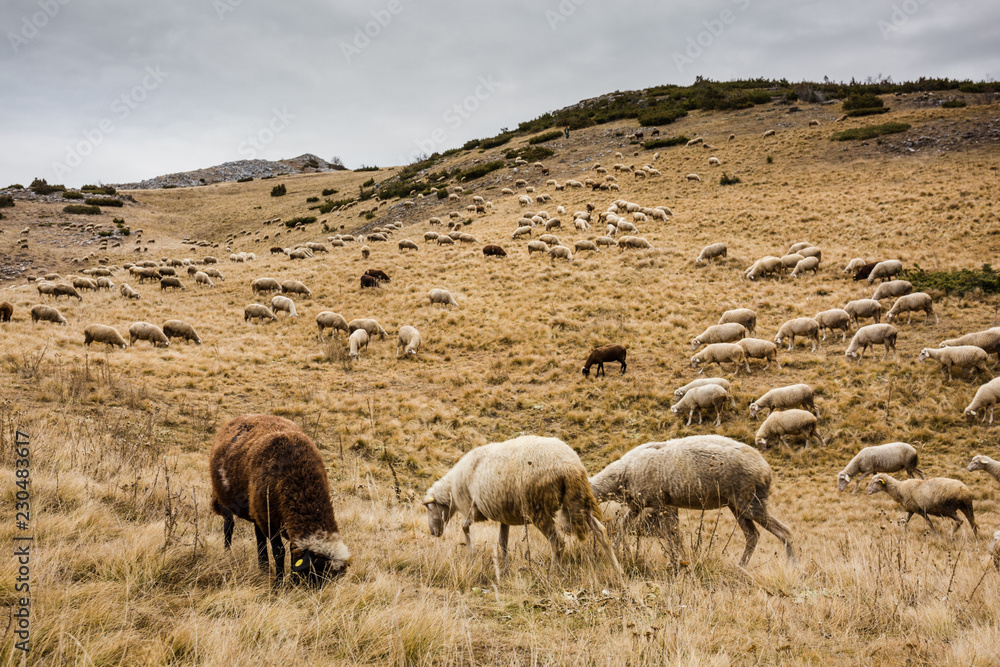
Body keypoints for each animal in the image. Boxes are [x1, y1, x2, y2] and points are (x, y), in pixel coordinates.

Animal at [210, 414, 350, 584]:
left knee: (259, 538)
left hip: (257, 509)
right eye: (314, 572)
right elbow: (279, 551)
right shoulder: (271, 521)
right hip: (224, 498)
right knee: (229, 525)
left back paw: (263, 567)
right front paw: (278, 583)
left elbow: (290, 549)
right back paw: (228, 553)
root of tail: (241, 417)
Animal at [423, 435, 621, 573]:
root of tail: (570, 466)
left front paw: (471, 553)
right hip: (580, 501)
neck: (452, 487)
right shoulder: (503, 515)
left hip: (538, 508)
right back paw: (616, 569)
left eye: (429, 508)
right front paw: (505, 567)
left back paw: (554, 572)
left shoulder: (473, 509)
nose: (433, 533)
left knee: (557, 542)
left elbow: (464, 526)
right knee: (601, 532)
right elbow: (502, 541)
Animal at [589, 435, 795, 566]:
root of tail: (766, 469)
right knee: (752, 536)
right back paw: (740, 567)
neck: (621, 474)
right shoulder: (640, 505)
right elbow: (624, 525)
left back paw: (794, 567)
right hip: (737, 505)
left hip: (750, 502)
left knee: (785, 531)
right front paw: (615, 549)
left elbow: (671, 535)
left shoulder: (659, 503)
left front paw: (676, 562)